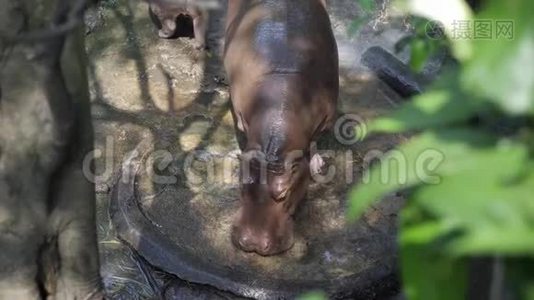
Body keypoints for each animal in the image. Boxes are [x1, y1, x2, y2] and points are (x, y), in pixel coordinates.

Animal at [225, 0, 340, 255]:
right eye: (243, 183)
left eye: (285, 192)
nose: (252, 243)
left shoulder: (325, 118)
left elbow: (314, 143)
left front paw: (317, 165)